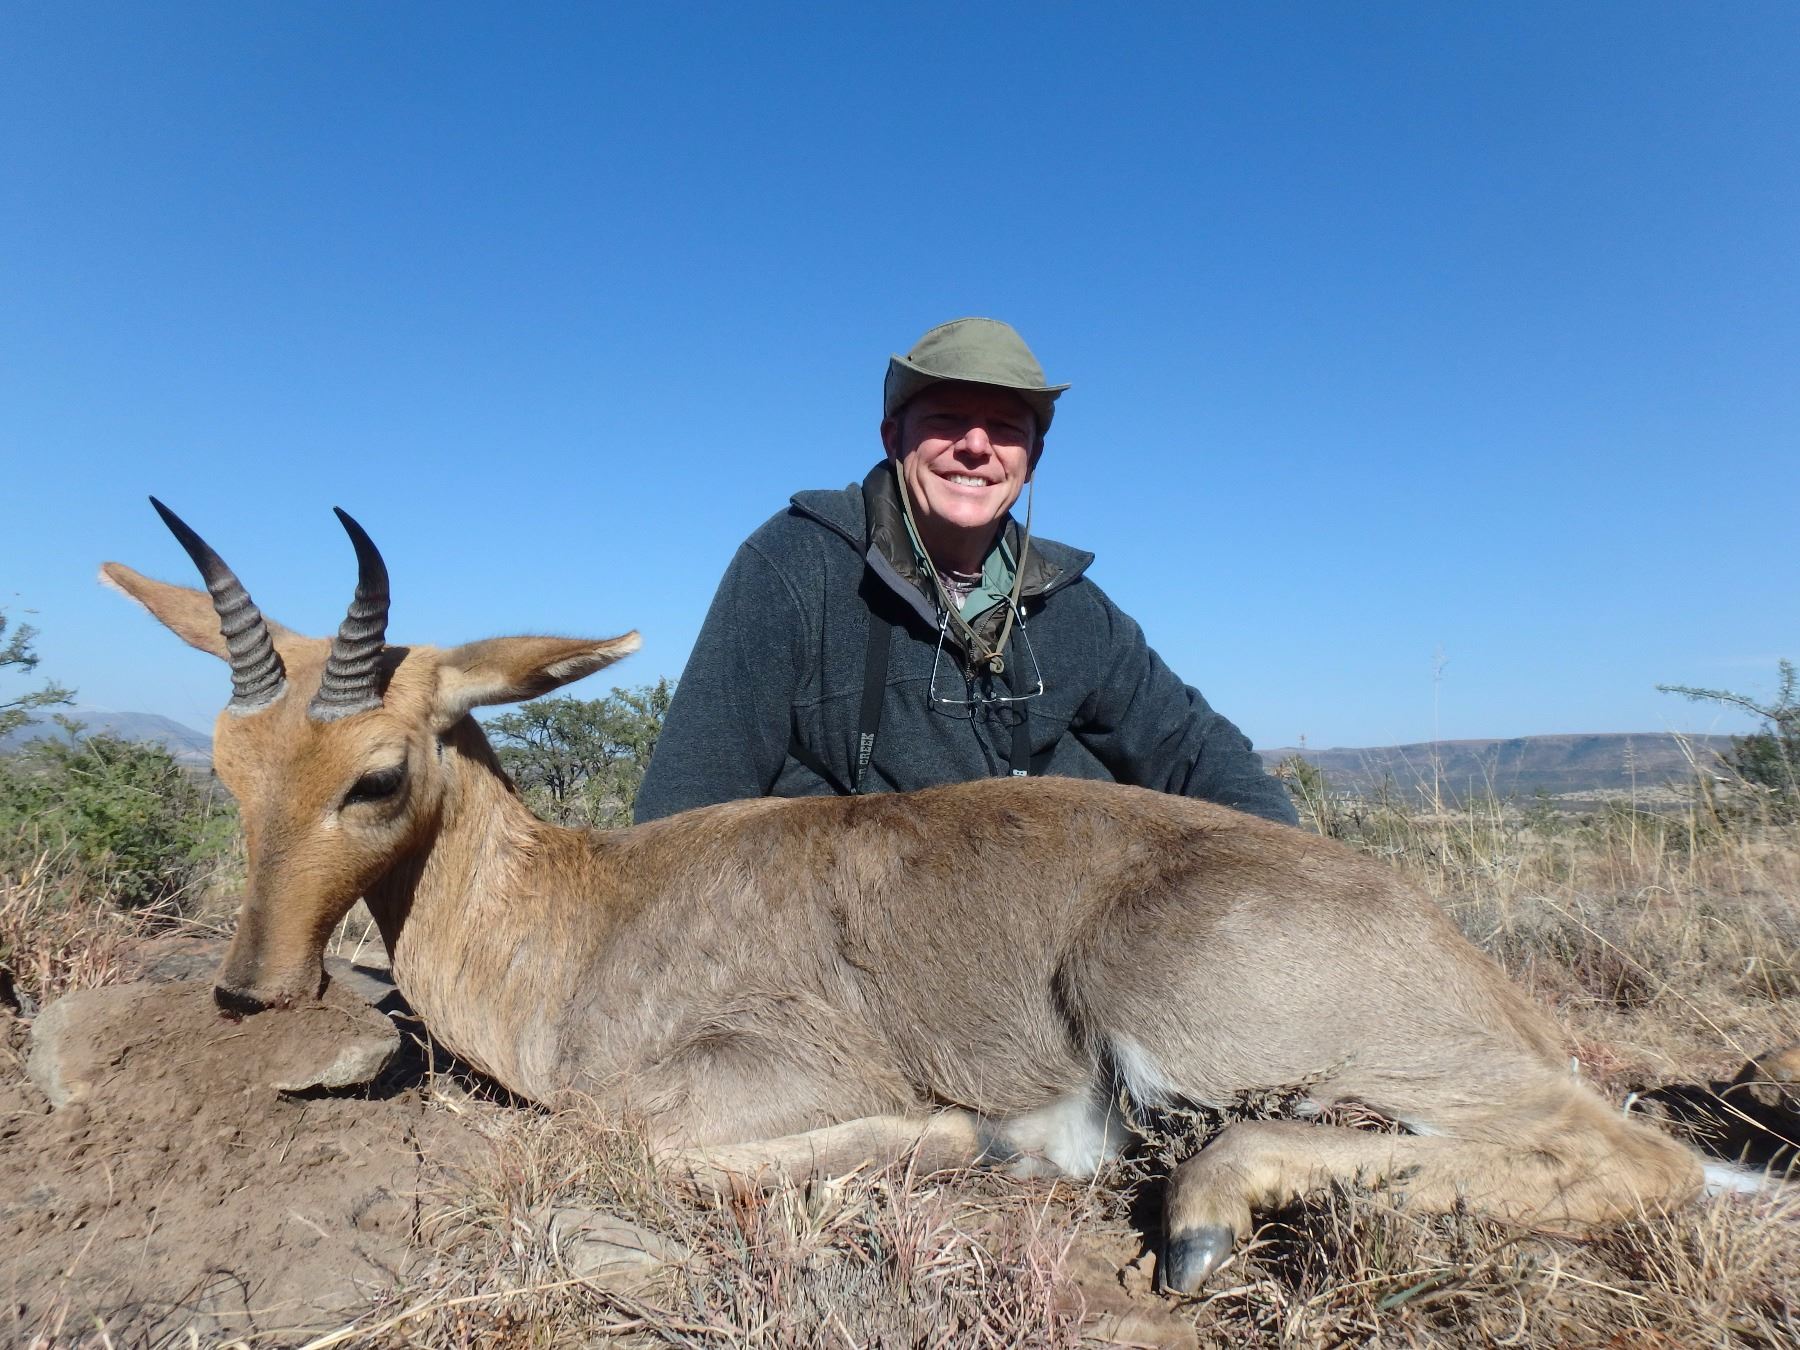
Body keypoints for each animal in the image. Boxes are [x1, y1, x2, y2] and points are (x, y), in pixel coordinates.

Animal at [102, 499, 1705, 1295]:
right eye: (232, 765)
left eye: (376, 771)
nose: (248, 986)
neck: (575, 912)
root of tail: (1463, 962)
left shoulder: (758, 1077)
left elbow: (645, 1141)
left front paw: (979, 1140)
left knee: (1647, 1156)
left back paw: (1186, 1213)